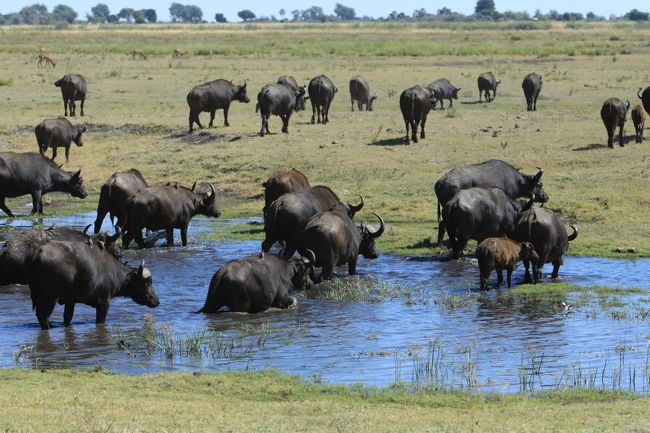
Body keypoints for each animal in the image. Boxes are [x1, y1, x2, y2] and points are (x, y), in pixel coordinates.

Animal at [27, 241, 159, 330]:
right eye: (147, 282)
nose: (156, 301)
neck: (115, 273)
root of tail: (39, 252)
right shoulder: (103, 301)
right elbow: (100, 320)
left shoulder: (71, 301)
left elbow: (67, 318)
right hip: (50, 297)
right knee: (42, 316)